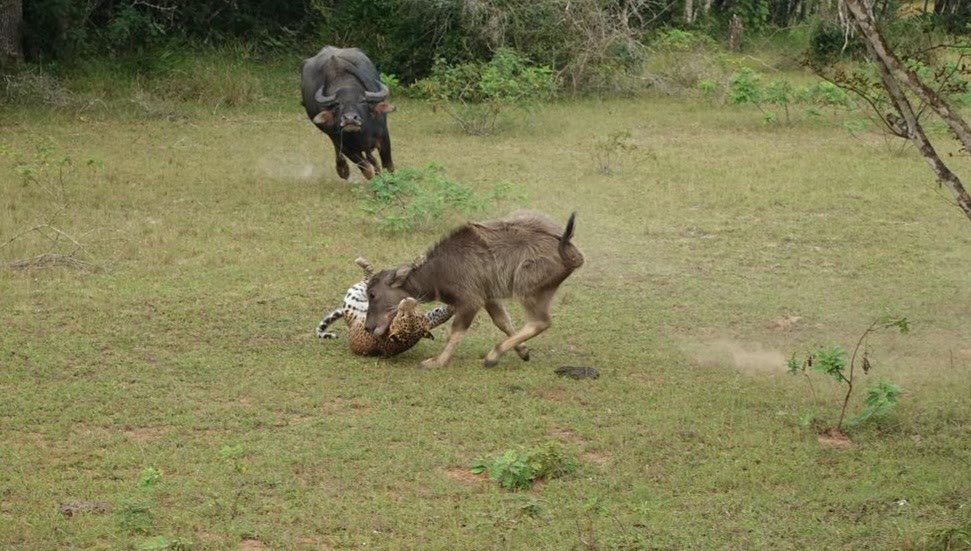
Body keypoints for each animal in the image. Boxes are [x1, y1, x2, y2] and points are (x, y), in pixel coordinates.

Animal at [301, 46, 395, 180]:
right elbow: (368, 171)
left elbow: (389, 167)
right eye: (337, 104)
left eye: (363, 101)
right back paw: (342, 169)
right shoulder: (343, 144)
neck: (361, 133)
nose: (350, 119)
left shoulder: (384, 138)